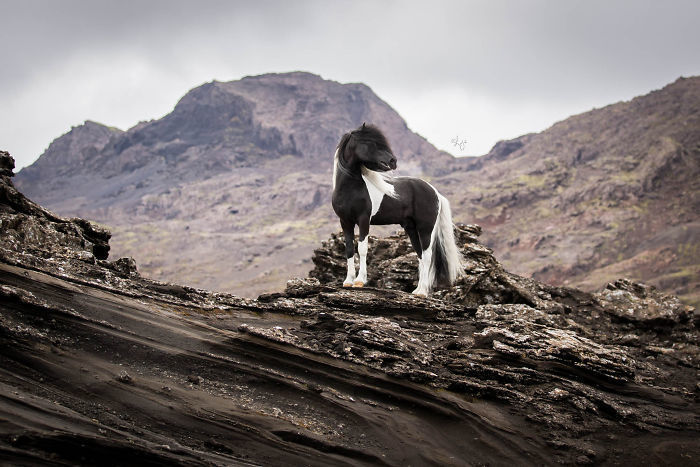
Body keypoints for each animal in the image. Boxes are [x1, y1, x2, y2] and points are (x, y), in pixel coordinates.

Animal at [330, 122, 462, 294]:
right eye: (370, 142)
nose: (393, 161)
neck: (349, 189)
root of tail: (435, 192)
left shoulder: (364, 220)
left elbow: (363, 248)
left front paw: (359, 281)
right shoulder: (345, 222)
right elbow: (350, 249)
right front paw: (348, 281)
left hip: (425, 228)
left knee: (427, 256)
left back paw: (422, 292)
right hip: (411, 228)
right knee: (420, 255)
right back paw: (417, 290)